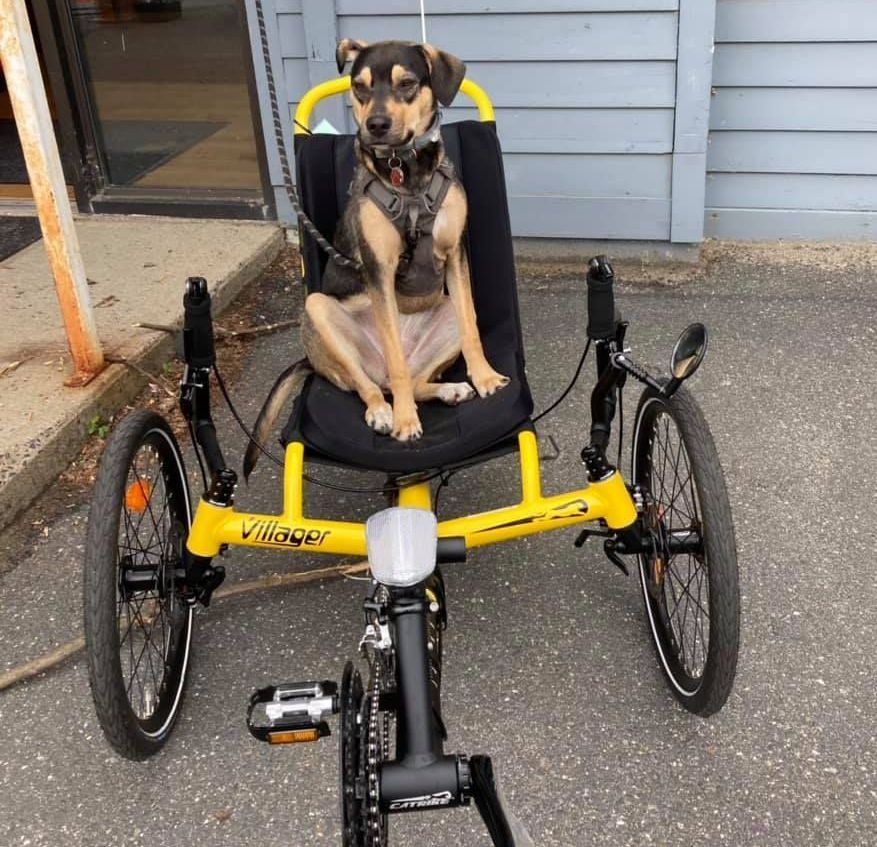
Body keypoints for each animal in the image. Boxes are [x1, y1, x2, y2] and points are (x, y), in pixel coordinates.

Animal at [245, 39, 506, 480]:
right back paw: (384, 411)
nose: (377, 125)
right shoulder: (379, 271)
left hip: (445, 312)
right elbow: (397, 365)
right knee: (373, 384)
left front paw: (484, 376)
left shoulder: (455, 254)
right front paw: (404, 421)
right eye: (360, 87)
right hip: (319, 311)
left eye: (406, 83)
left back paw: (449, 389)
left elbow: (472, 329)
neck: (408, 173)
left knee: (414, 378)